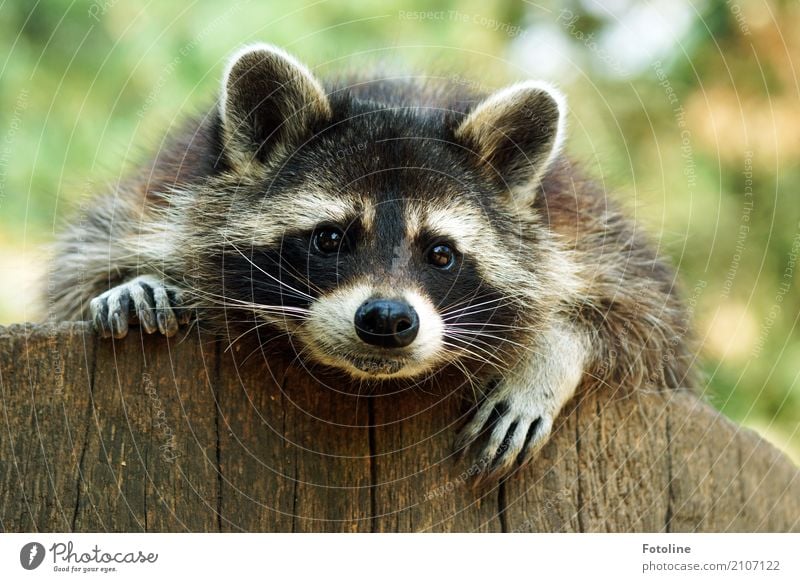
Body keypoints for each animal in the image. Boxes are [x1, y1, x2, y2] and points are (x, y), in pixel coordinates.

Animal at [48, 44, 692, 484]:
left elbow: (648, 317)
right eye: (329, 239)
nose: (387, 319)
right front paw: (137, 281)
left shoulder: (582, 225)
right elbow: (82, 264)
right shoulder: (163, 184)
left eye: (440, 254)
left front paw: (547, 353)